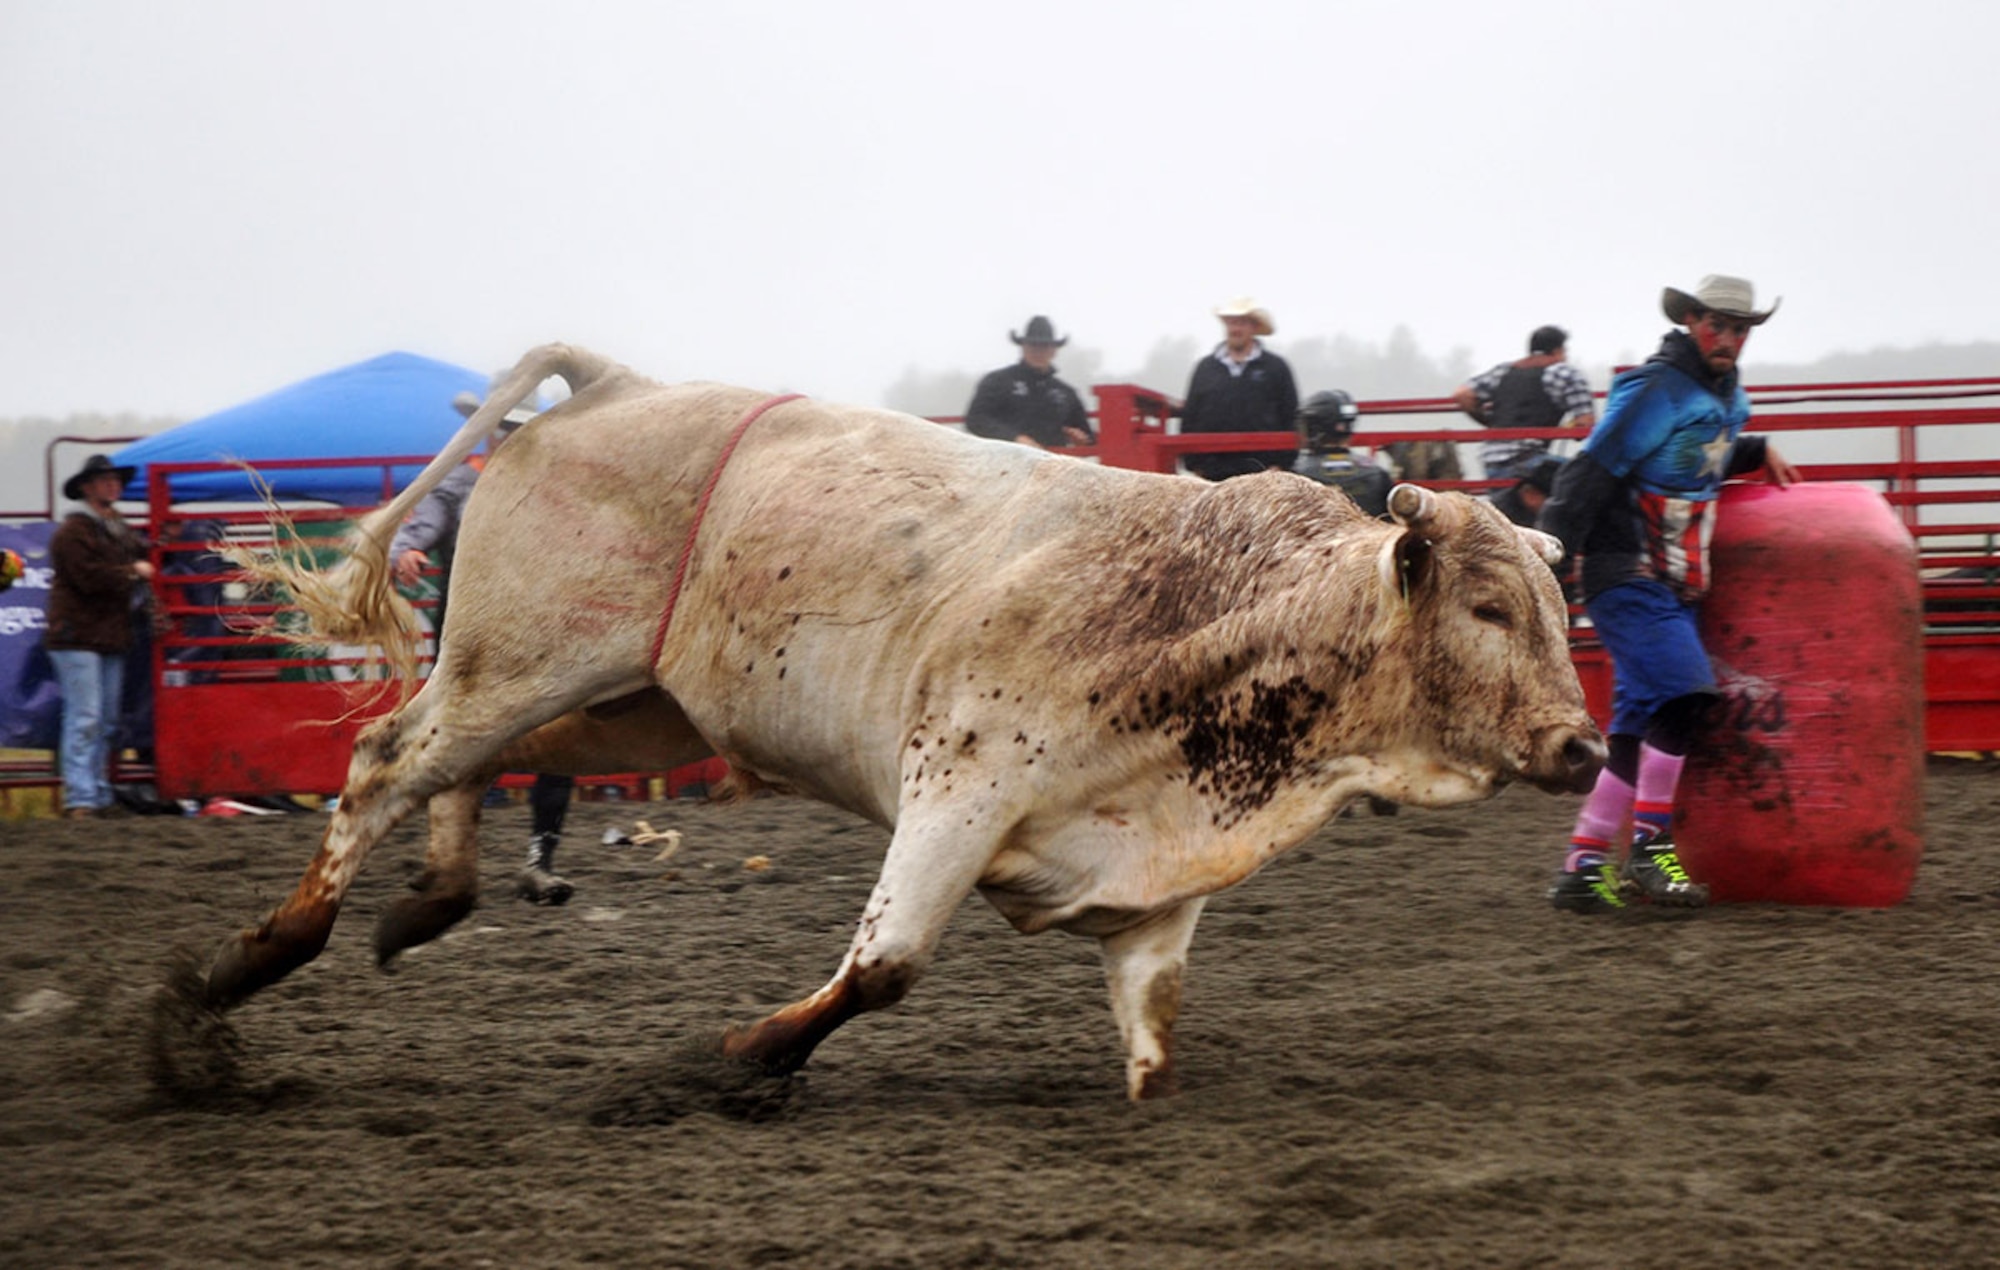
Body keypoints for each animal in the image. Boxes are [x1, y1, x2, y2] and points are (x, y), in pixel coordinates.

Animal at [203, 343, 1603, 1101]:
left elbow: (1151, 1037)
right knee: (388, 757)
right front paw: (743, 1053)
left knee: (473, 769)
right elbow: (884, 966)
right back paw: (249, 960)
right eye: (1487, 603)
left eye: (1553, 599)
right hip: (525, 659)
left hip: (624, 709)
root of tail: (615, 383)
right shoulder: (958, 788)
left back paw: (424, 905)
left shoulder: (1151, 878)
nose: (1582, 743)